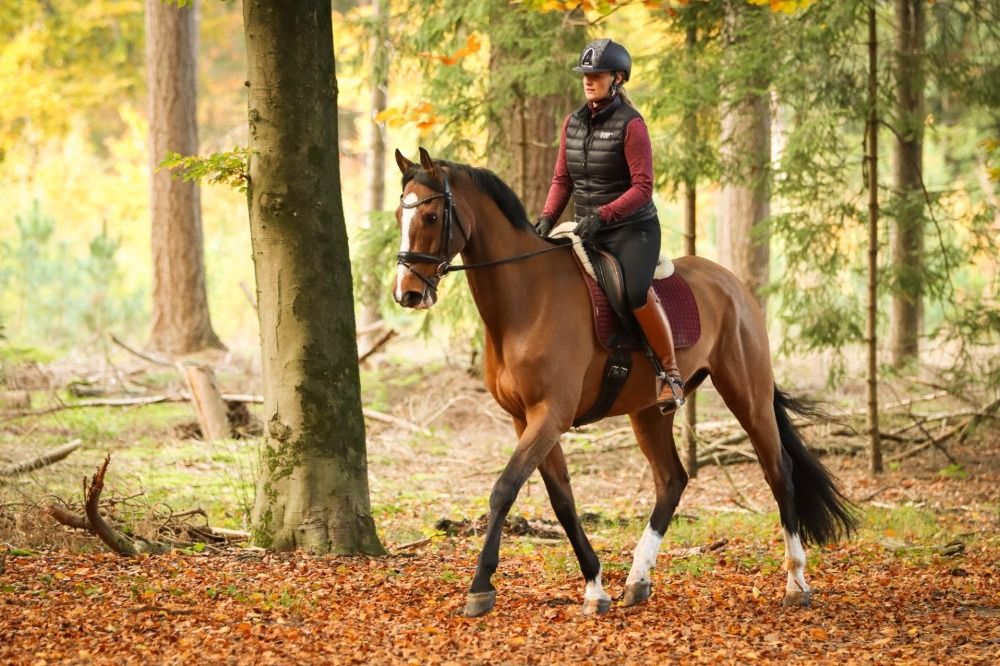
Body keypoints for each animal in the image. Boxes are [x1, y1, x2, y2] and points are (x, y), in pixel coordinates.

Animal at [391, 147, 856, 617]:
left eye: (431, 216)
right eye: (399, 215)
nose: (407, 294)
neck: (526, 301)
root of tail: (732, 285)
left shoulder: (550, 415)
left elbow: (504, 489)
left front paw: (480, 586)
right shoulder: (526, 419)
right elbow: (562, 501)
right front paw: (595, 587)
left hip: (747, 393)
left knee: (779, 472)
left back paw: (796, 583)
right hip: (650, 411)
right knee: (671, 480)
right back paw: (638, 579)